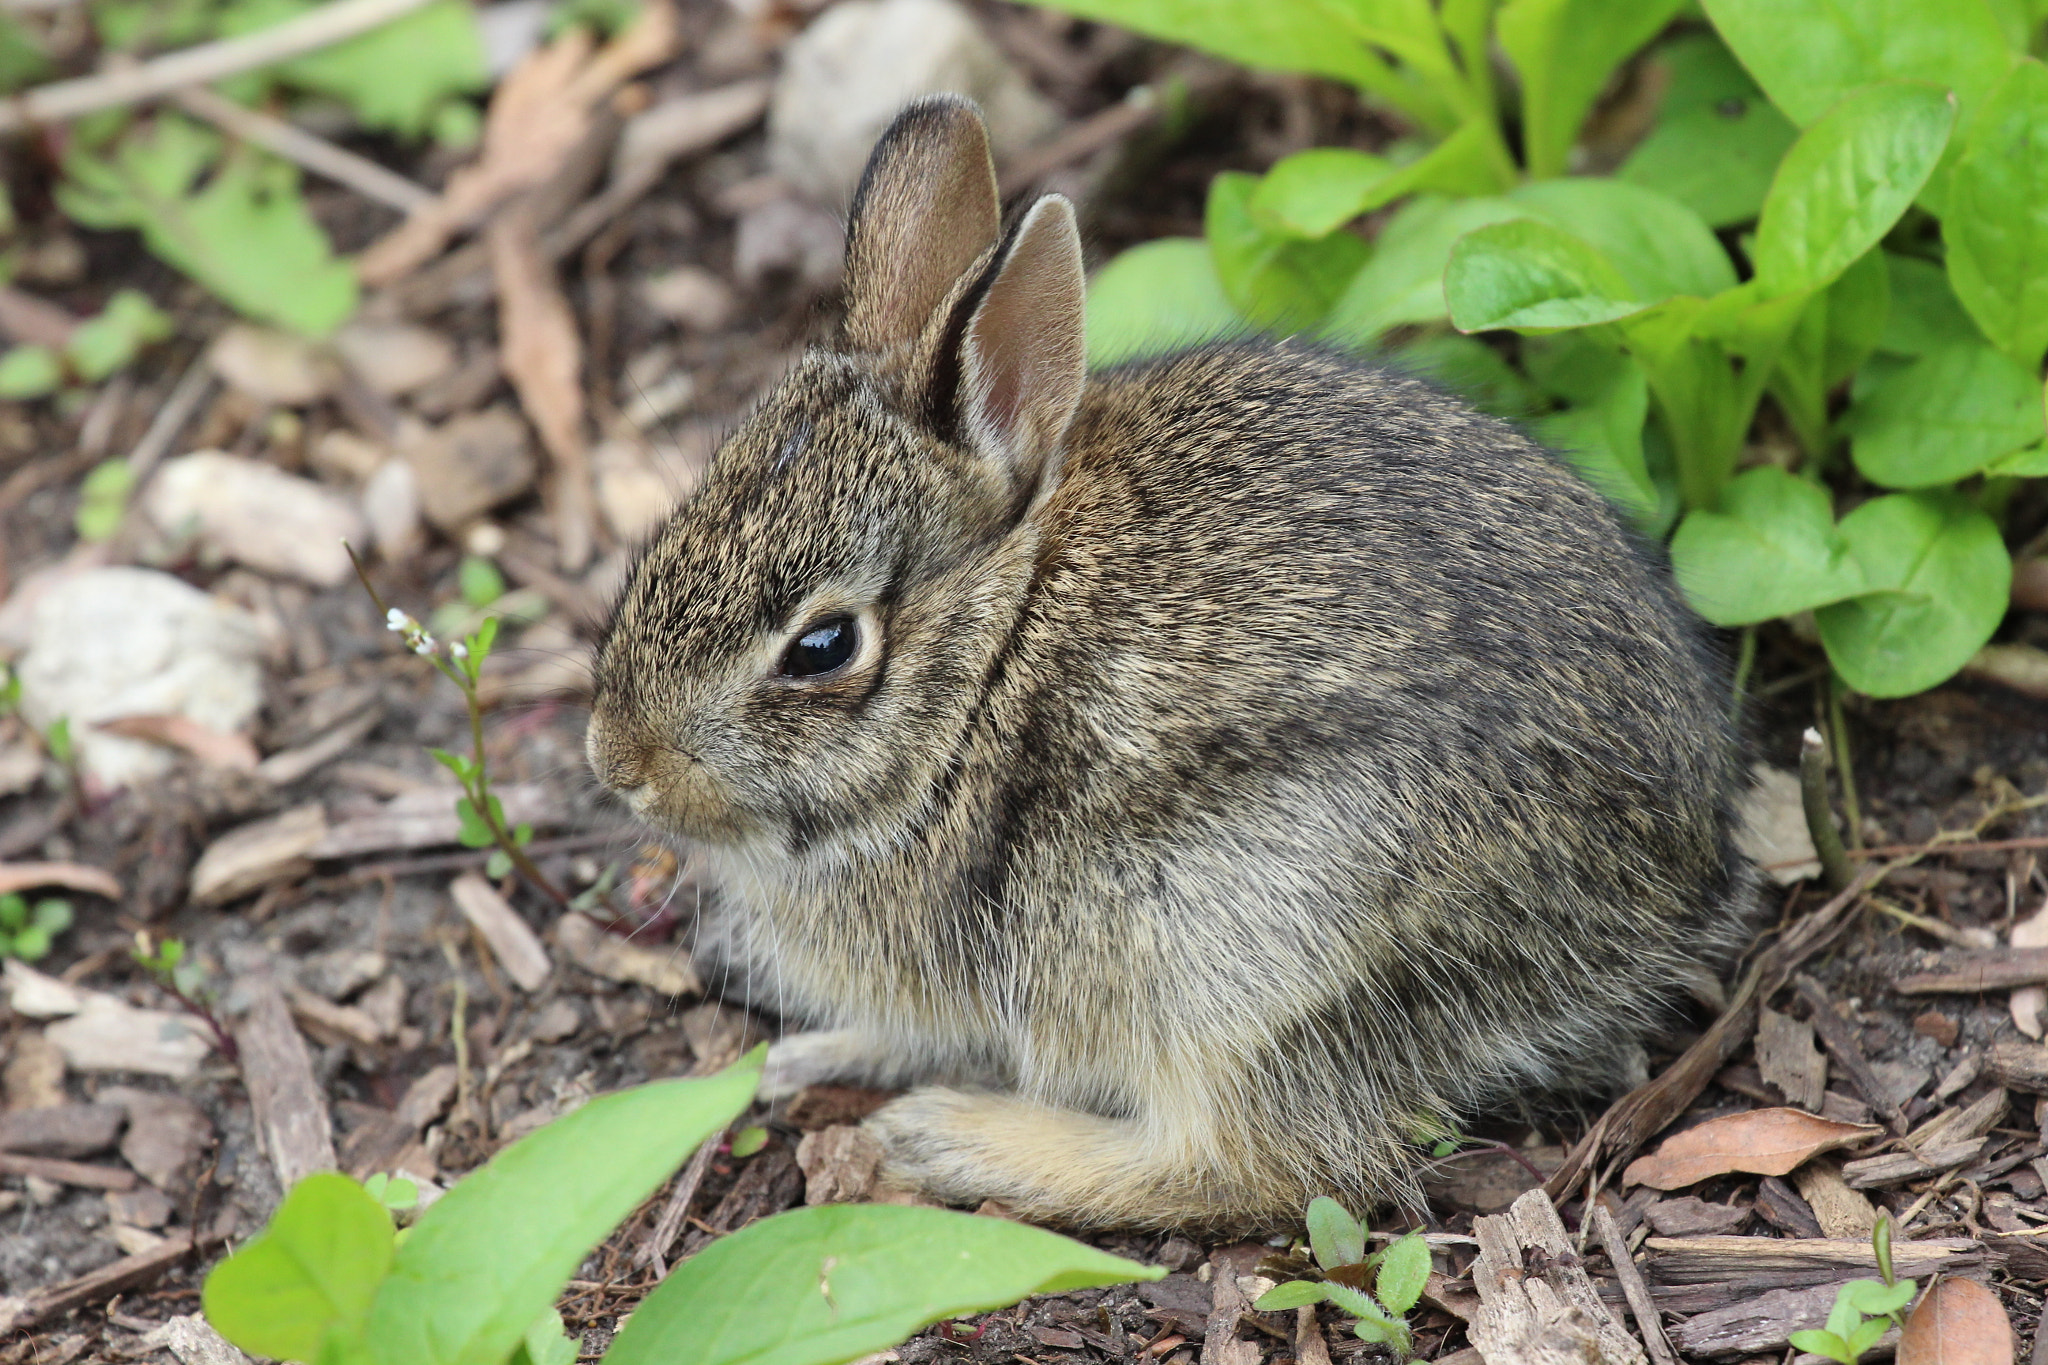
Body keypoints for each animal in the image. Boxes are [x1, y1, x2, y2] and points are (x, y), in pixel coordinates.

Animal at [586, 94, 1759, 1232]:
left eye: (823, 646)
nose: (616, 761)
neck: (987, 663)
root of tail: (1674, 883)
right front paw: (801, 1055)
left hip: (1250, 948)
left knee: (1264, 1167)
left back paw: (952, 1140)